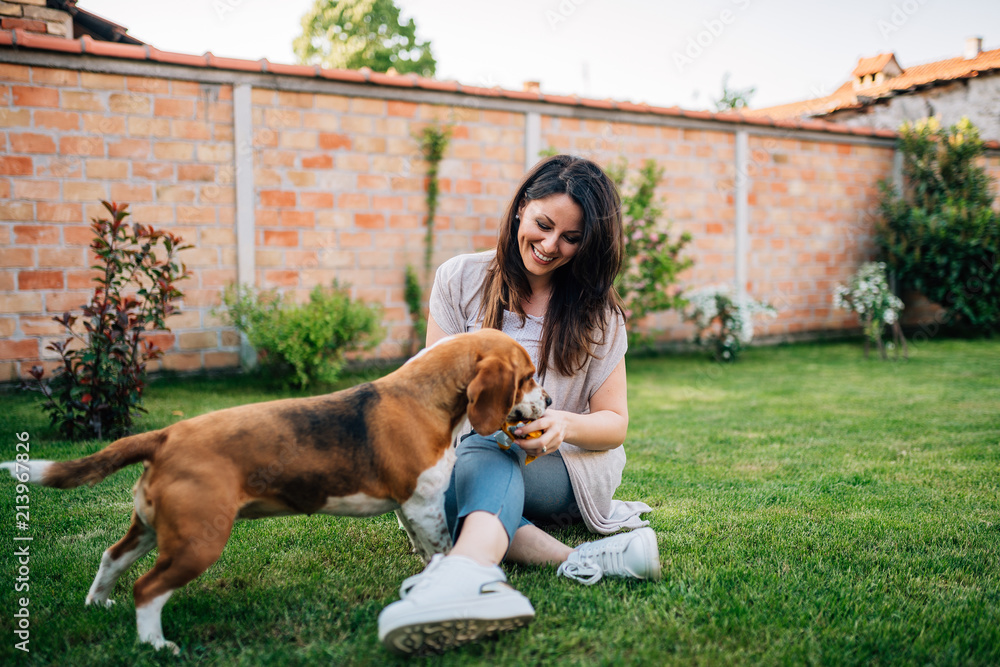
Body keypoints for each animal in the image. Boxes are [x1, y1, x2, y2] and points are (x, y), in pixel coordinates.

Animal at [1, 328, 548, 652]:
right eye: (527, 377)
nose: (547, 401)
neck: (426, 395)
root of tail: (167, 434)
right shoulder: (423, 504)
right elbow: (441, 550)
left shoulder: (411, 508)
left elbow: (422, 547)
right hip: (199, 541)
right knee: (148, 589)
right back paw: (156, 646)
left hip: (152, 530)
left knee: (112, 558)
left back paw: (98, 605)